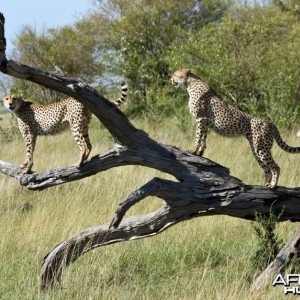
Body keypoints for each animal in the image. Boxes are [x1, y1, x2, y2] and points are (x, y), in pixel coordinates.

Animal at [171, 69, 300, 189]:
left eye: (176, 75)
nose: (171, 80)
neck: (190, 83)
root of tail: (270, 122)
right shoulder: (205, 122)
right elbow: (203, 138)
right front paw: (200, 152)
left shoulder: (201, 119)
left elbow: (198, 137)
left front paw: (193, 150)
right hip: (256, 149)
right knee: (266, 168)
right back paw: (265, 184)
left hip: (261, 148)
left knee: (275, 167)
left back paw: (273, 185)